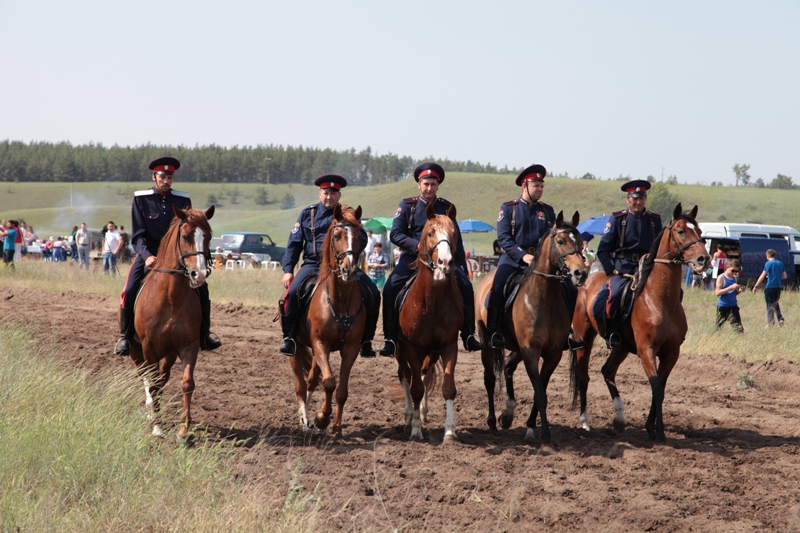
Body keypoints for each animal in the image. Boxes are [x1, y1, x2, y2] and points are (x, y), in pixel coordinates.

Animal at [126, 206, 214, 438]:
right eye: (185, 236)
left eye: (208, 237)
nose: (199, 274)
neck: (171, 297)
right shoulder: (148, 347)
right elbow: (153, 384)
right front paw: (157, 427)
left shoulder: (188, 345)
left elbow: (187, 383)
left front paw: (183, 431)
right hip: (135, 350)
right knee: (146, 377)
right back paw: (150, 410)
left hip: (169, 353)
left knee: (162, 377)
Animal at [290, 202, 366, 434]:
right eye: (337, 235)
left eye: (360, 235)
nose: (349, 270)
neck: (340, 301)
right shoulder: (320, 343)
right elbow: (330, 381)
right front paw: (322, 418)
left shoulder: (351, 347)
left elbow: (341, 390)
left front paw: (337, 427)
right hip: (296, 347)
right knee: (301, 385)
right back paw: (304, 420)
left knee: (312, 380)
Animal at [396, 201, 462, 440]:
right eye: (431, 233)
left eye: (454, 233)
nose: (445, 262)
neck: (431, 303)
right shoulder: (412, 348)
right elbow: (415, 388)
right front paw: (416, 429)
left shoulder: (448, 346)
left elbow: (448, 388)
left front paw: (450, 430)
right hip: (400, 350)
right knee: (406, 376)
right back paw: (409, 417)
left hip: (432, 352)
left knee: (424, 376)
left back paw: (422, 413)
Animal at [476, 211, 588, 440]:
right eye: (560, 241)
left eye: (581, 242)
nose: (580, 273)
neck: (544, 298)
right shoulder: (530, 351)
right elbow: (539, 393)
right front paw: (543, 433)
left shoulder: (553, 354)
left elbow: (540, 391)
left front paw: (530, 426)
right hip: (488, 344)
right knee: (490, 378)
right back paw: (492, 420)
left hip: (517, 349)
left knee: (508, 367)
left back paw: (507, 414)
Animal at [572, 204, 708, 440]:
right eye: (681, 231)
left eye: (700, 232)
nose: (704, 259)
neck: (660, 300)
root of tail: (585, 280)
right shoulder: (647, 350)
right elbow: (656, 387)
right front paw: (658, 431)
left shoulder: (671, 353)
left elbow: (660, 388)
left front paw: (650, 426)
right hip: (584, 339)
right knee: (584, 377)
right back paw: (585, 421)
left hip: (621, 347)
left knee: (607, 371)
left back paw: (619, 417)